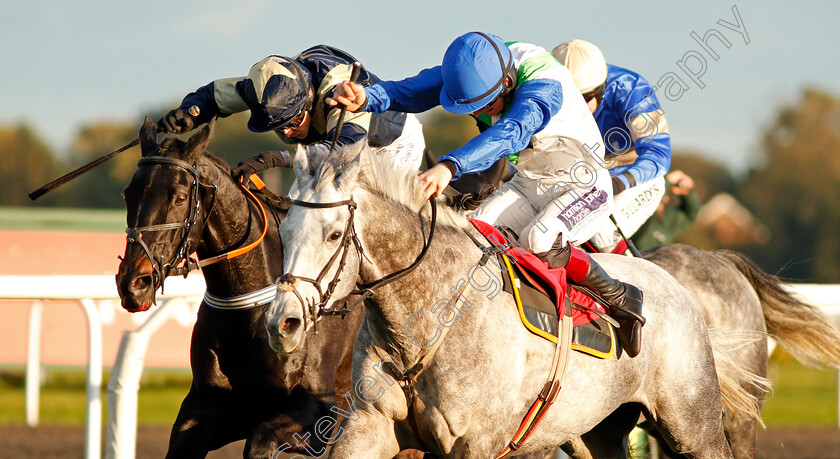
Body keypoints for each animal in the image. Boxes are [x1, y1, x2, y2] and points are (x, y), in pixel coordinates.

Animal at [113, 117, 362, 456]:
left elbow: (259, 441)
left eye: (180, 197)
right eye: (129, 194)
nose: (133, 283)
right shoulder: (207, 407)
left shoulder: (319, 410)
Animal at [266, 142, 744, 458]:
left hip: (693, 425)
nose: (282, 323)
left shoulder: (475, 443)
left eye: (332, 234)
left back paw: (627, 302)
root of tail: (674, 282)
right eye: (284, 230)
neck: (424, 324)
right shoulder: (368, 426)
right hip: (597, 433)